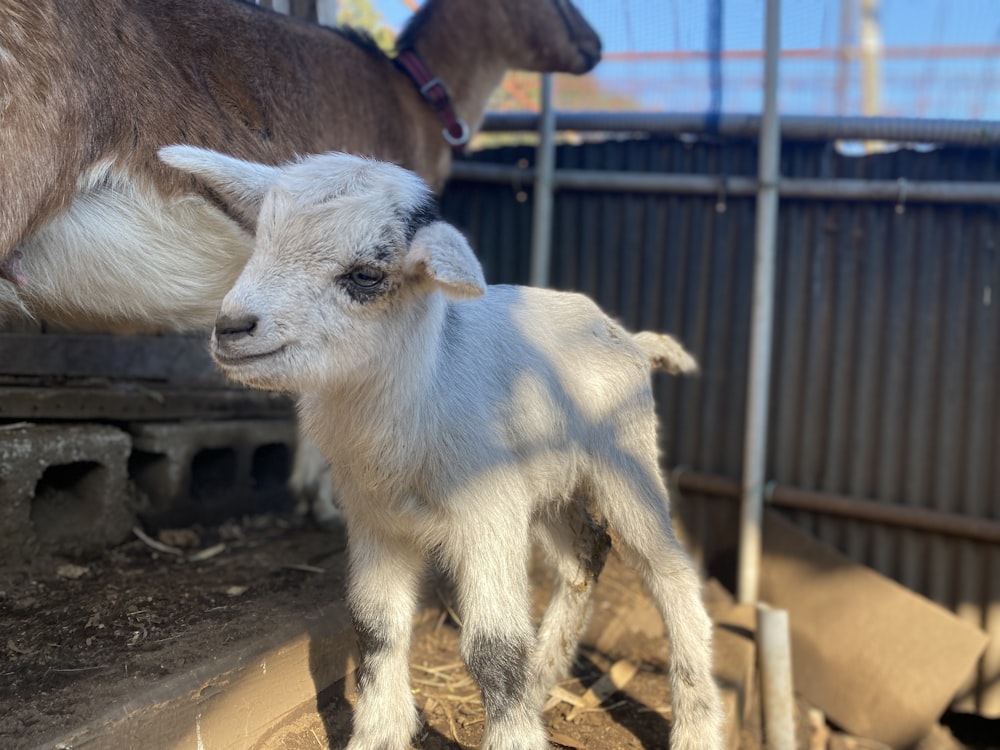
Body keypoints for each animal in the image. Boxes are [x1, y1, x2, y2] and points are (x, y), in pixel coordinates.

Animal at [158, 145, 720, 750]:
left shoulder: (488, 512)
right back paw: (543, 680)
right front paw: (379, 734)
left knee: (671, 573)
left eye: (365, 274)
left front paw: (513, 738)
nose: (232, 327)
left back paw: (696, 725)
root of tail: (628, 338)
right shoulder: (376, 519)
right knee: (586, 554)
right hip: (548, 484)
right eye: (259, 241)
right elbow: (374, 627)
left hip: (625, 460)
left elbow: (495, 650)